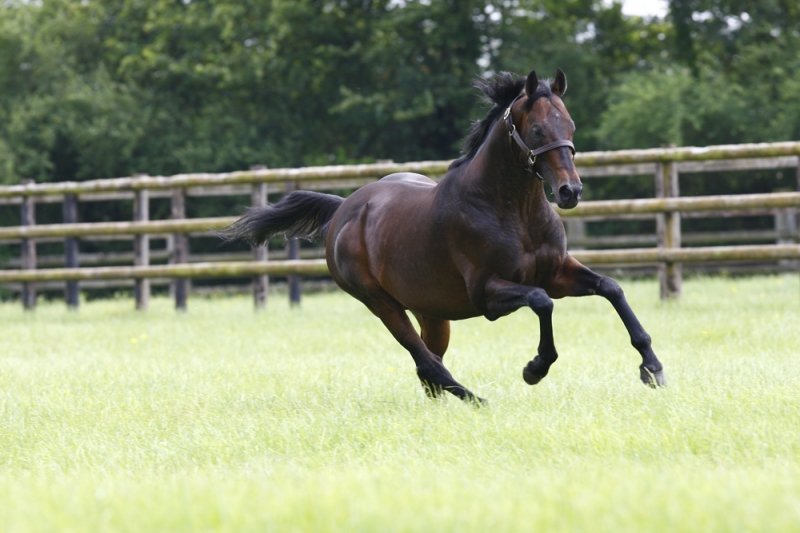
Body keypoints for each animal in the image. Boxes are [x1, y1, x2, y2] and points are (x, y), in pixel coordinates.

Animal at [224, 69, 666, 404]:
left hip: (433, 312)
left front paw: (652, 368)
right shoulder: (488, 293)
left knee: (428, 364)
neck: (512, 210)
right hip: (381, 303)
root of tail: (345, 209)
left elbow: (610, 288)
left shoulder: (557, 272)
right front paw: (534, 369)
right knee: (424, 359)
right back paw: (475, 398)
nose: (570, 192)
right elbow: (542, 302)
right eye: (538, 129)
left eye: (570, 124)